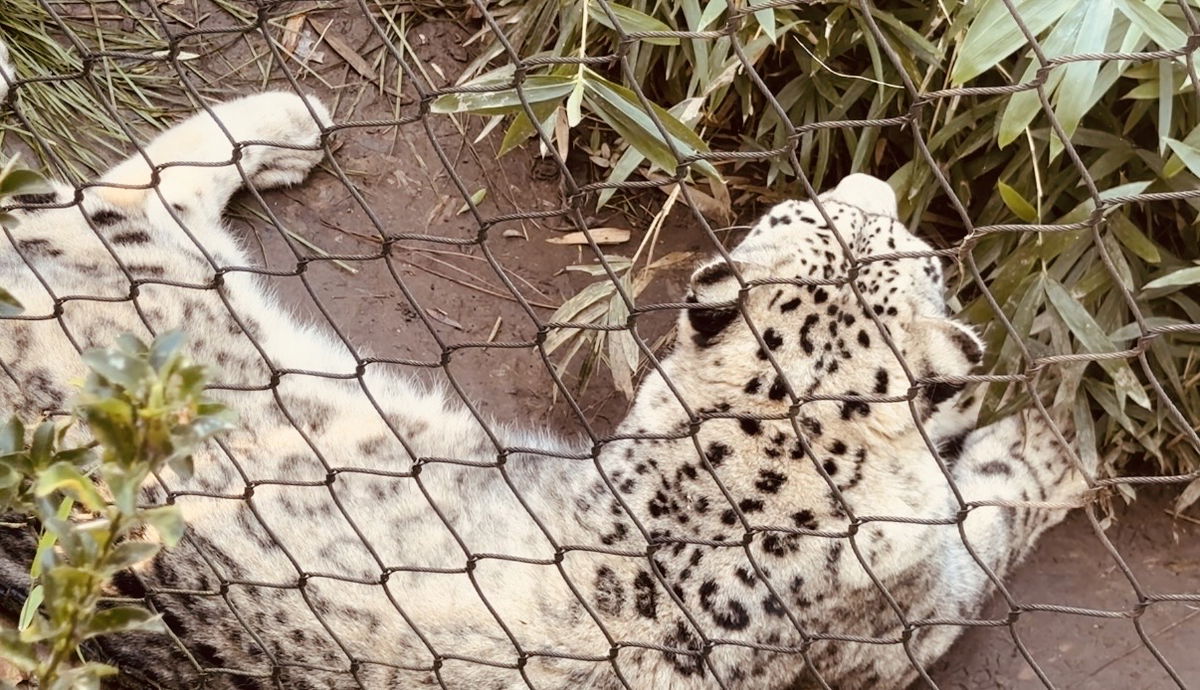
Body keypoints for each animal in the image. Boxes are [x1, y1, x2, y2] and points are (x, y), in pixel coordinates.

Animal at [0, 45, 1093, 689]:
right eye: (821, 217)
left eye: (897, 241)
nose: (872, 177)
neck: (773, 449)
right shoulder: (918, 604)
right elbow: (996, 506)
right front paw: (1060, 437)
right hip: (139, 256)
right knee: (129, 183)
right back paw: (285, 120)